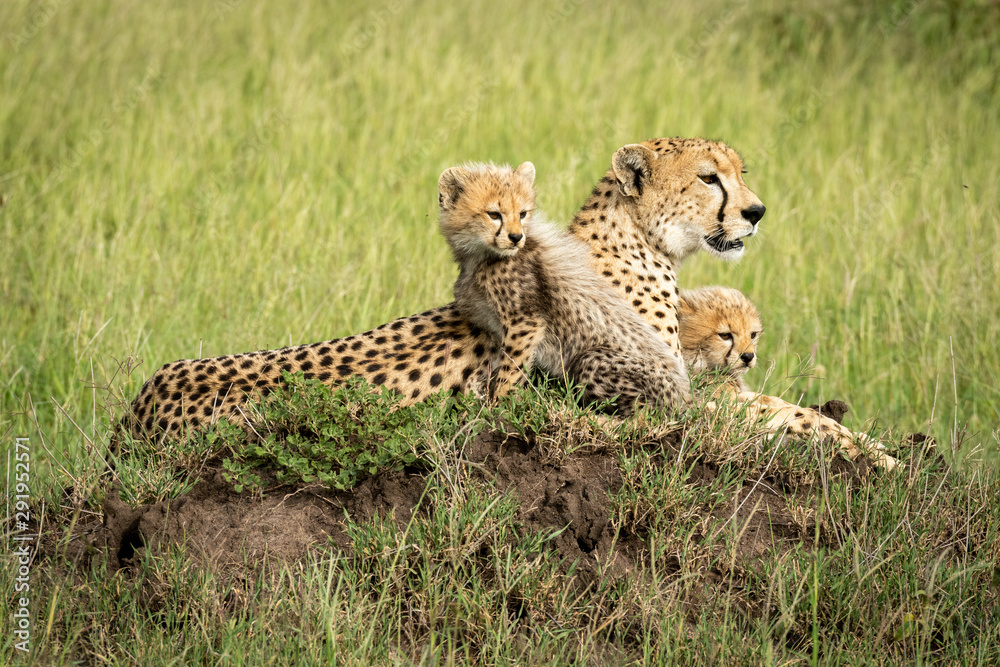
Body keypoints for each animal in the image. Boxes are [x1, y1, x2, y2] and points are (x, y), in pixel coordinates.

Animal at [438, 161, 688, 413]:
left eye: (522, 214)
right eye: (494, 214)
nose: (516, 237)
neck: (480, 256)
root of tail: (685, 394)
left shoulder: (525, 322)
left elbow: (512, 369)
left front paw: (498, 405)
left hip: (592, 360)